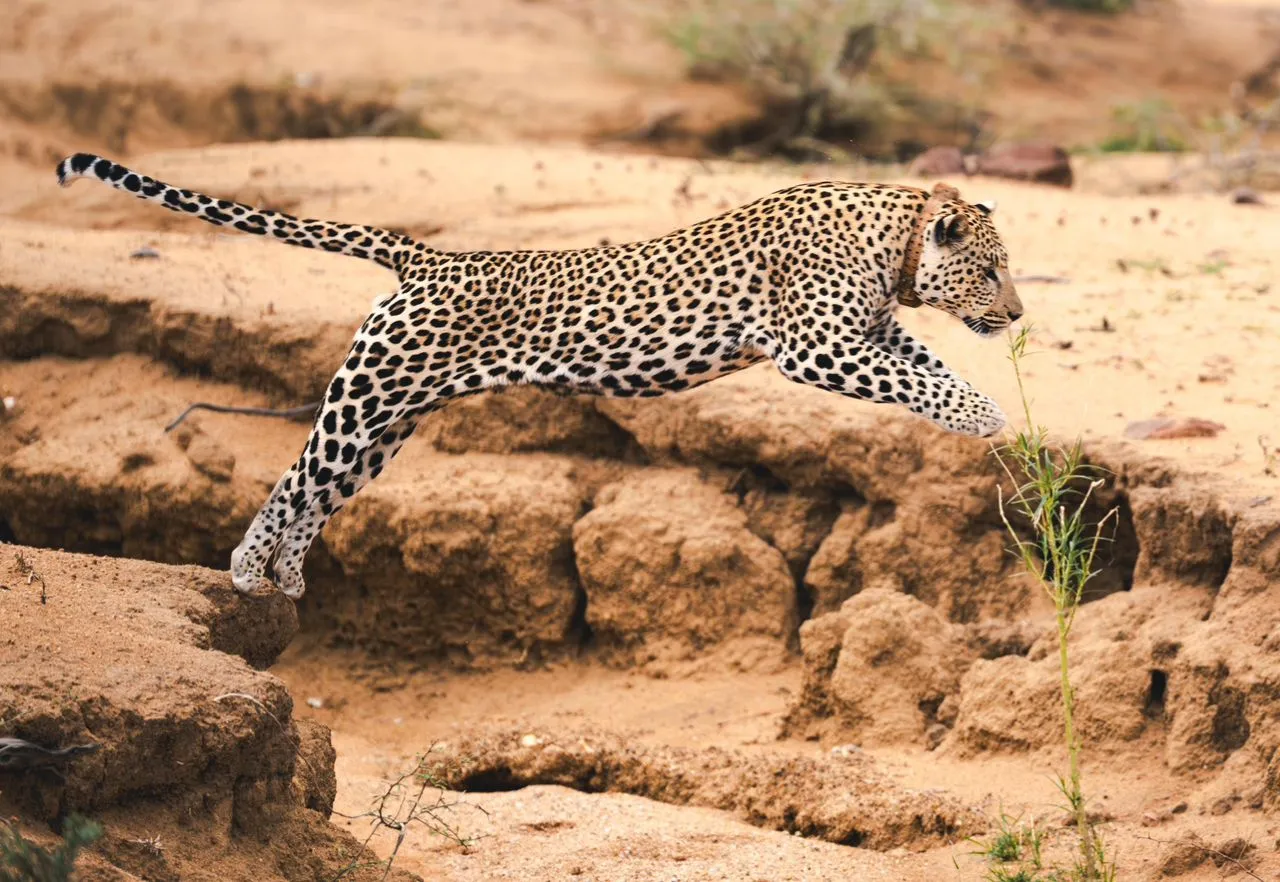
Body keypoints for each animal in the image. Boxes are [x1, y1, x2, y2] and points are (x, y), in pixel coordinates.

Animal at [56, 152, 1023, 600]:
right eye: (989, 273)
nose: (1016, 315)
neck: (899, 237)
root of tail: (428, 256)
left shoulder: (870, 335)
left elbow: (927, 369)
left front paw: (988, 412)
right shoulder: (817, 345)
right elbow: (923, 381)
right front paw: (988, 420)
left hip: (388, 424)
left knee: (323, 490)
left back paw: (286, 578)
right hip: (366, 399)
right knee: (297, 478)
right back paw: (247, 571)